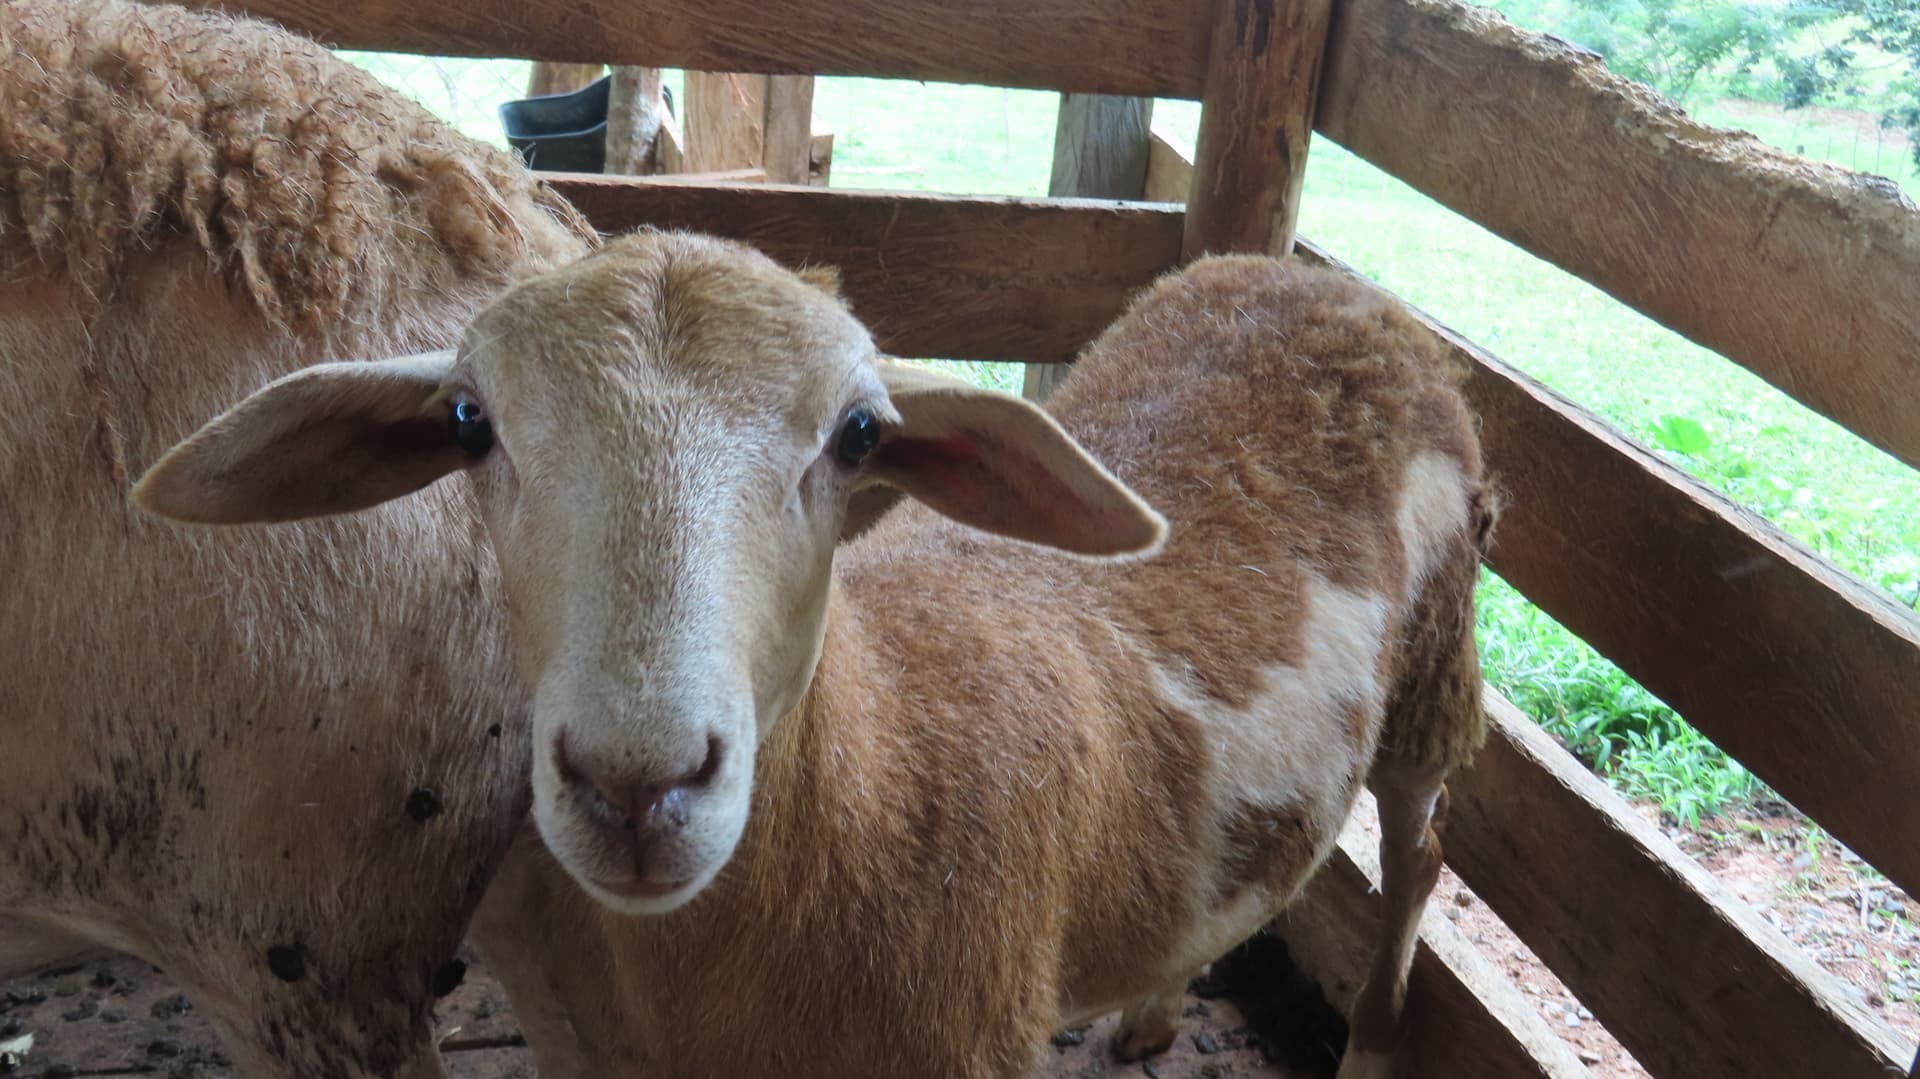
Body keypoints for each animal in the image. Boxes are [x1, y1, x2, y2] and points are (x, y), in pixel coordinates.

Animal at [138, 228, 1496, 1078]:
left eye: (859, 435)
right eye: (470, 421)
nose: (638, 783)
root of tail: (1319, 281)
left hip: (1440, 655)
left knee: (1421, 848)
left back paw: (1374, 1041)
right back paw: (1156, 1008)